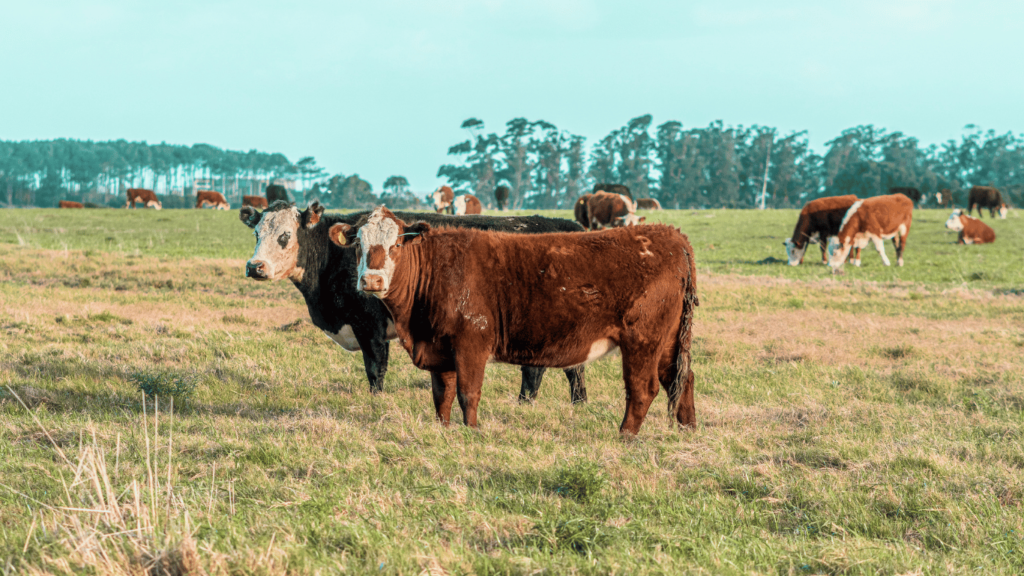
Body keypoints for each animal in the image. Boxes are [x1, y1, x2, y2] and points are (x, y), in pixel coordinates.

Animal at [239, 199, 589, 401]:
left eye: (285, 235)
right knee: (570, 368)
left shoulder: (370, 327)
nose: (255, 267)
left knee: (542, 369)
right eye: (256, 233)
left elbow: (375, 370)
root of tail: (568, 225)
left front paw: (375, 405)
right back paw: (576, 403)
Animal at [331, 203, 700, 432]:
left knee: (643, 387)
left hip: (643, 339)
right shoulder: (438, 346)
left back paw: (625, 435)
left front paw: (472, 431)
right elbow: (441, 394)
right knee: (681, 378)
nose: (371, 281)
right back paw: (686, 429)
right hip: (668, 340)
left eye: (395, 245)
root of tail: (671, 236)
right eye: (358, 245)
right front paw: (444, 429)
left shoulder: (472, 342)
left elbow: (468, 392)